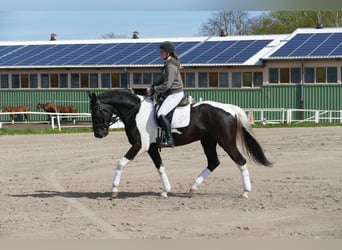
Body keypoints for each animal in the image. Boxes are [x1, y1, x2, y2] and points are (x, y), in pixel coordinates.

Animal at [89, 90, 272, 199]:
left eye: (96, 110)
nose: (98, 134)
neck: (135, 111)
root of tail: (230, 109)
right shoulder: (152, 148)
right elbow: (160, 168)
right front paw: (165, 190)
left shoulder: (140, 145)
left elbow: (120, 163)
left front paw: (113, 190)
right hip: (208, 141)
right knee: (213, 162)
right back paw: (193, 188)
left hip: (226, 142)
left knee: (240, 161)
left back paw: (245, 192)